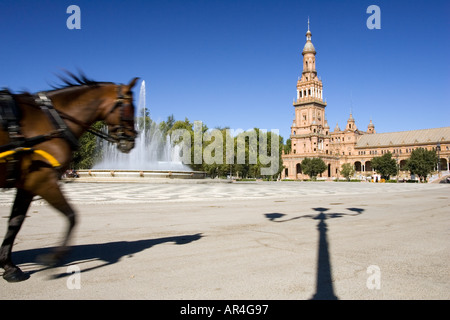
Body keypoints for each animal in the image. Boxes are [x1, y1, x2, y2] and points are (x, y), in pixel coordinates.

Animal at [0, 74, 139, 282]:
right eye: (130, 107)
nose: (132, 142)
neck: (54, 119)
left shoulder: (27, 185)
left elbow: (14, 222)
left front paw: (9, 266)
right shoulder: (43, 180)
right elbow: (72, 215)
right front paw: (54, 258)